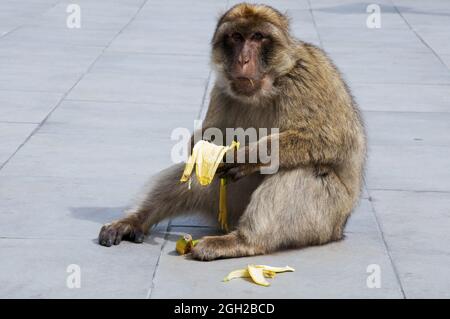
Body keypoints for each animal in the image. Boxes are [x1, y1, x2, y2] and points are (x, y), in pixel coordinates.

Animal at [97, 2, 366, 262]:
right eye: (236, 36)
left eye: (258, 37)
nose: (243, 60)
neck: (269, 85)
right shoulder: (221, 88)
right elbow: (203, 142)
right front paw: (202, 144)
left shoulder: (308, 76)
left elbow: (331, 140)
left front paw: (245, 156)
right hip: (225, 201)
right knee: (190, 170)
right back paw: (135, 220)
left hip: (324, 220)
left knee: (303, 169)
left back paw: (243, 241)